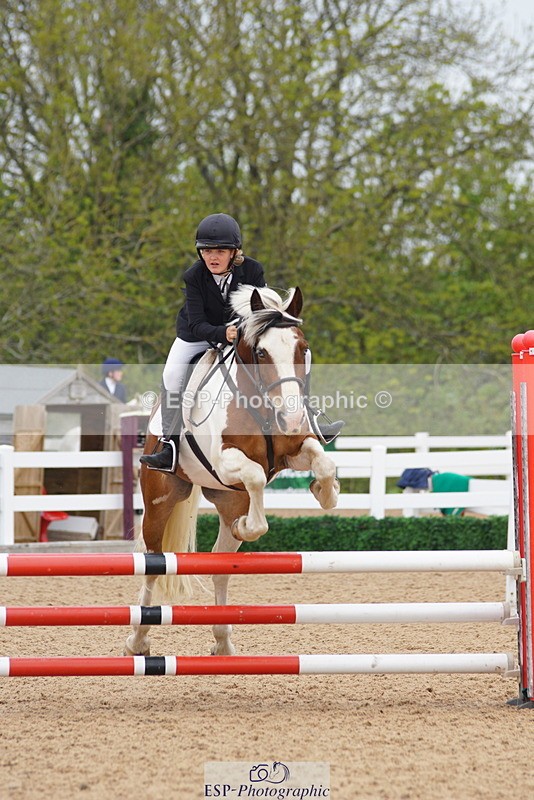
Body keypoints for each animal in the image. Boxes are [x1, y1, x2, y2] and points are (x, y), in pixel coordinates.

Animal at [124, 285, 340, 657]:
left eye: (303, 348)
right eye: (261, 352)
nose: (292, 418)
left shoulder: (295, 450)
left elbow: (323, 463)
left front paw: (325, 493)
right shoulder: (225, 461)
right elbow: (254, 476)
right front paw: (248, 526)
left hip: (227, 499)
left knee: (220, 566)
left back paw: (223, 642)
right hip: (159, 500)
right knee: (153, 562)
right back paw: (138, 641)